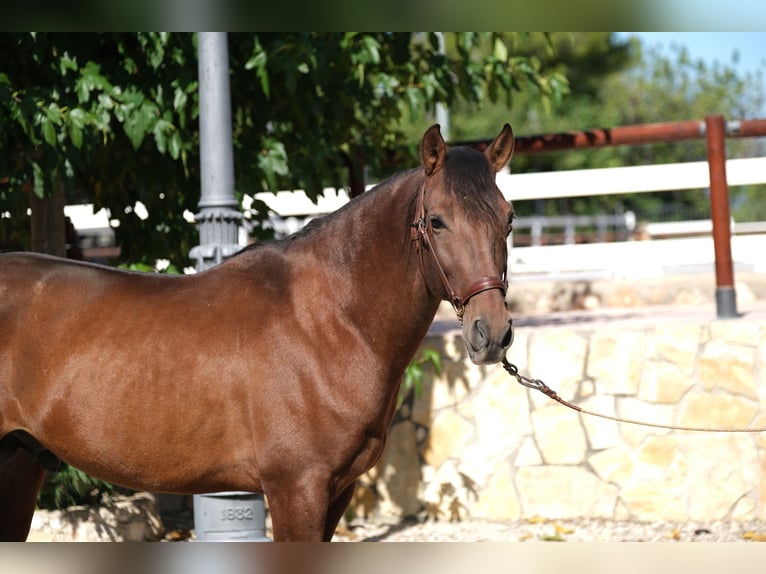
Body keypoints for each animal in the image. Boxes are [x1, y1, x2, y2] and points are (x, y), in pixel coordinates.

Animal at [0, 124, 520, 544]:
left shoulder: (337, 492)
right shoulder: (296, 489)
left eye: (509, 219)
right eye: (437, 221)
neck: (328, 322)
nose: (490, 333)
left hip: (20, 465)